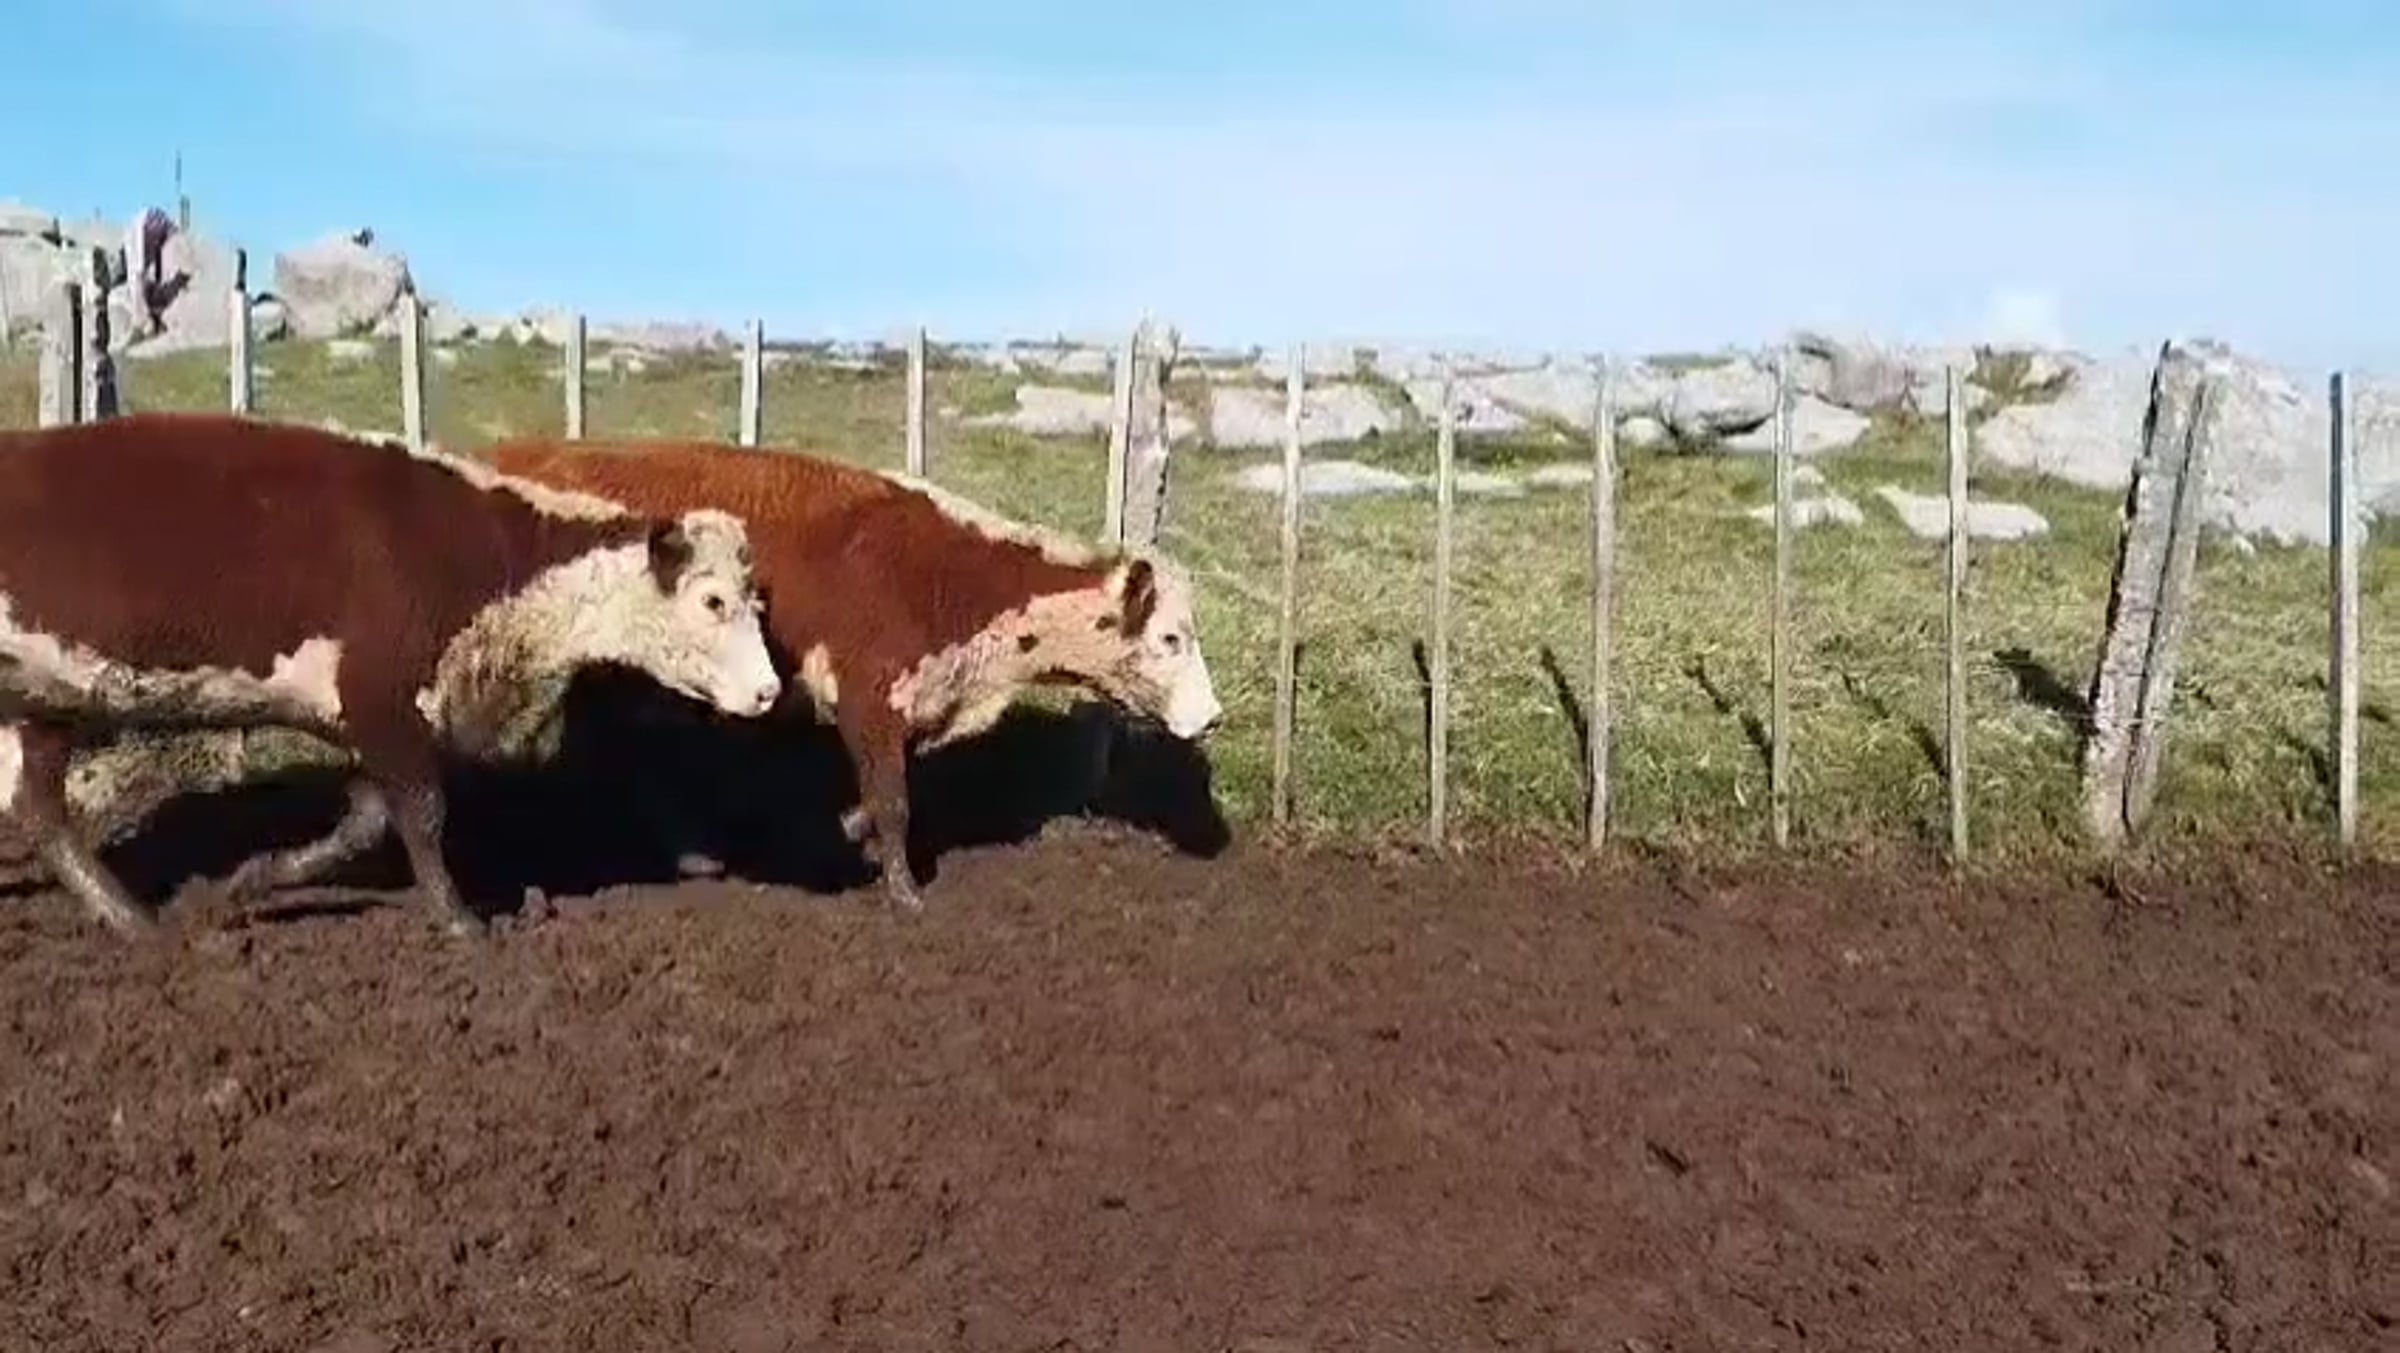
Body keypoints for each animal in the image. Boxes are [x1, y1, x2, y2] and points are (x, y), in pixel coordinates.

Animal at [0, 412, 785, 939]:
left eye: (755, 600)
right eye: (713, 601)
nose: (769, 691)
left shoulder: (374, 719)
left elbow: (365, 822)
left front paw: (251, 882)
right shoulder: (382, 698)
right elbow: (424, 813)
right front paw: (462, 920)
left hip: (43, 703)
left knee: (40, 813)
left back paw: (130, 918)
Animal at [58, 437, 1223, 912]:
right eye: (1171, 639)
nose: (1211, 718)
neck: (952, 575)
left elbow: (879, 802)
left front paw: (843, 837)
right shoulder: (870, 699)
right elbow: (894, 806)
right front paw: (899, 892)